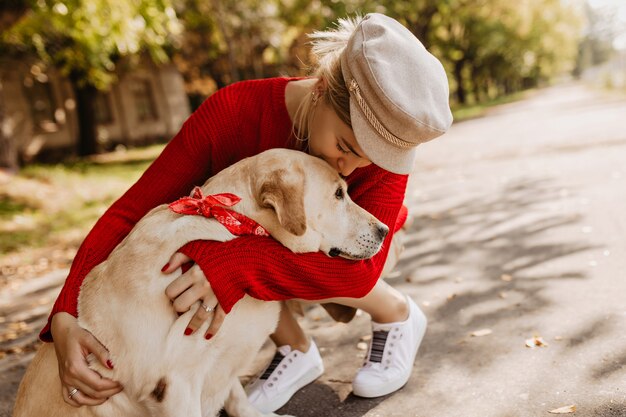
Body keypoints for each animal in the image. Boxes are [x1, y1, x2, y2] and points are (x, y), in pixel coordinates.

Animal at [13, 149, 386, 416]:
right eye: (338, 194)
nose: (384, 229)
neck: (231, 223)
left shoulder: (219, 362)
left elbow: (236, 396)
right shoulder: (174, 383)